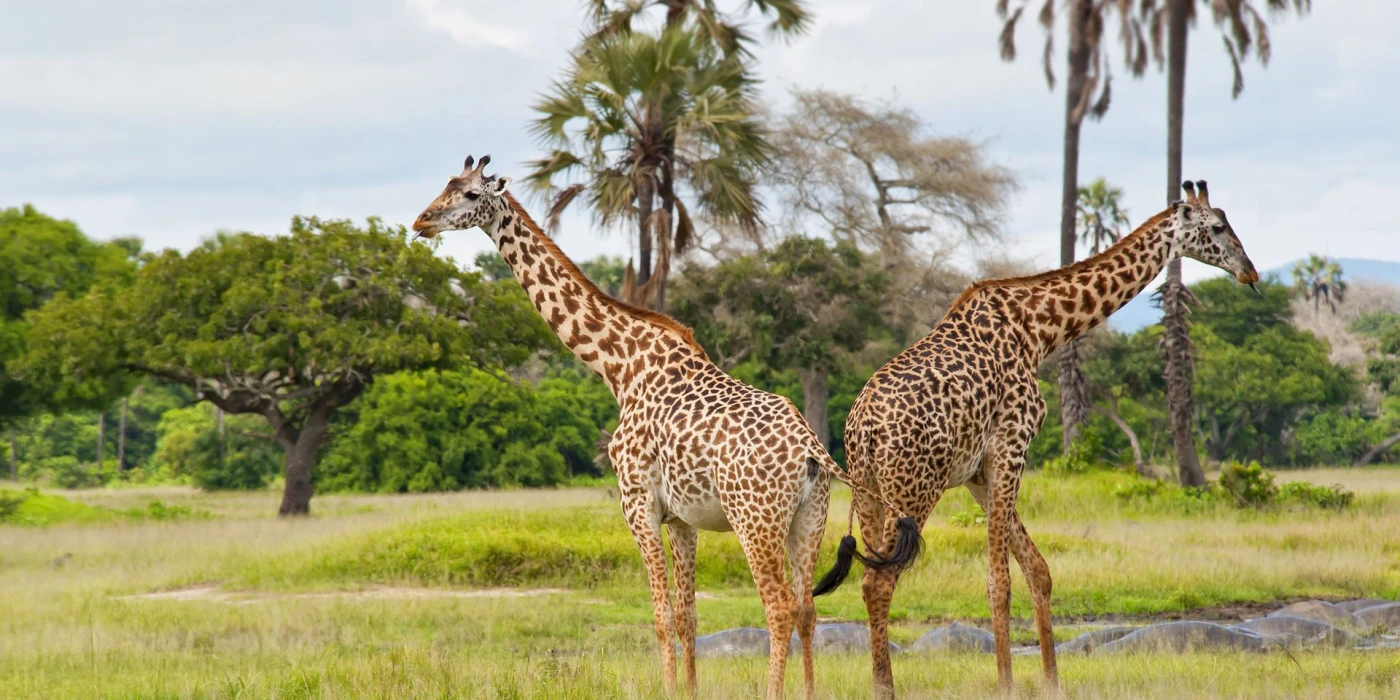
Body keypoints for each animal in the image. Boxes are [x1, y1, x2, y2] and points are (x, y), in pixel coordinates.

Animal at [408, 156, 924, 697]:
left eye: (469, 194)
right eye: (446, 185)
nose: (422, 221)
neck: (619, 366)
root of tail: (811, 449)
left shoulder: (637, 503)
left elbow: (658, 616)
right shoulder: (681, 519)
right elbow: (686, 617)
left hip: (754, 520)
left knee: (779, 606)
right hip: (809, 516)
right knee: (806, 607)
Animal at [812, 179, 1260, 694]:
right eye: (1218, 227)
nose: (1250, 271)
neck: (1039, 330)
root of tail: (862, 426)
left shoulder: (977, 472)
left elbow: (1038, 569)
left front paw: (1051, 682)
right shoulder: (1011, 445)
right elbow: (999, 582)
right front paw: (1007, 684)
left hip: (870, 491)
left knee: (871, 576)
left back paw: (879, 683)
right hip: (914, 489)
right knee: (879, 580)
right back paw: (885, 689)